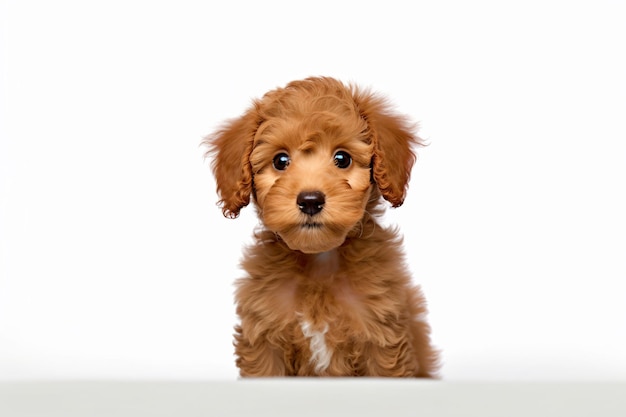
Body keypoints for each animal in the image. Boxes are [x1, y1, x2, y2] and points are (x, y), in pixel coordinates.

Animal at [206, 76, 438, 376]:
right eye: (280, 161)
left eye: (342, 159)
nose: (310, 201)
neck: (319, 263)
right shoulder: (264, 341)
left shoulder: (383, 340)